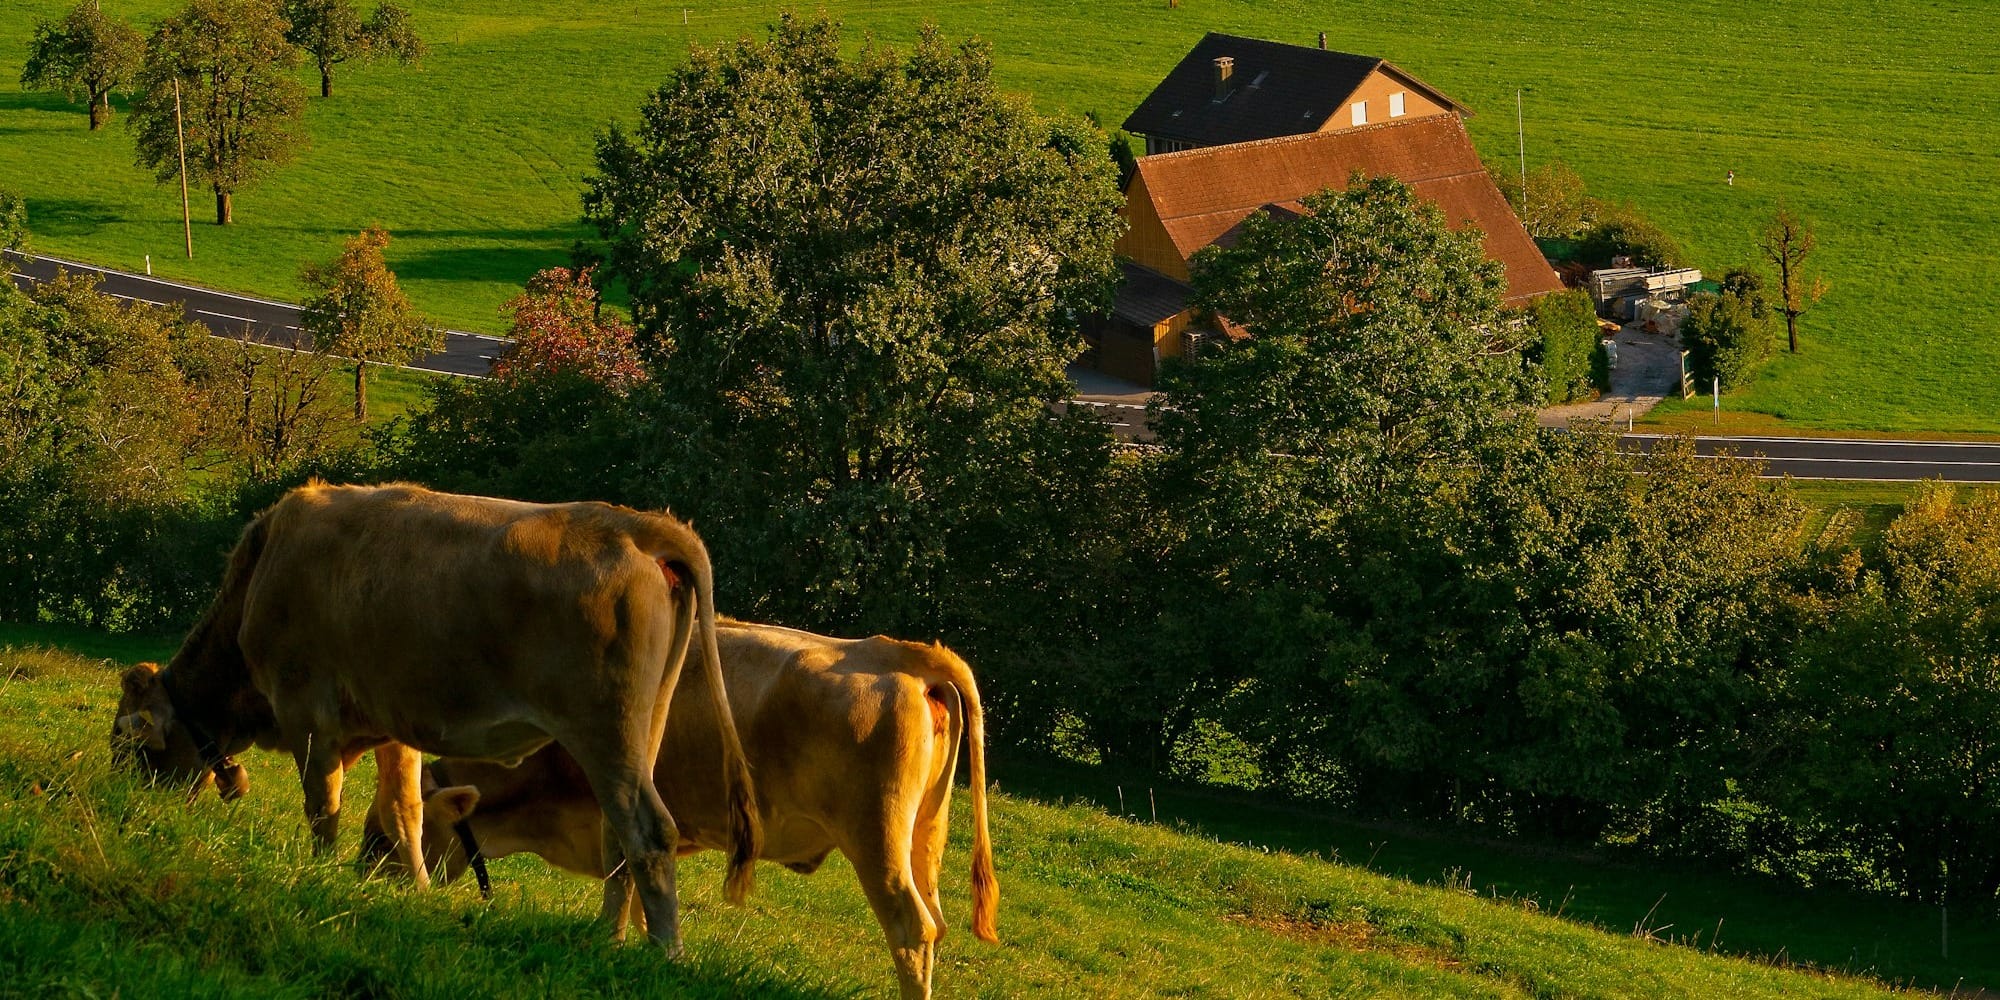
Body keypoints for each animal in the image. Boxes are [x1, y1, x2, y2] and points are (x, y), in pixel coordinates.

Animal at [109, 481, 760, 952]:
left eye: (128, 742)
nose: (127, 810)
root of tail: (631, 523)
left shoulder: (306, 708)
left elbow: (323, 803)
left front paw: (315, 874)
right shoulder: (390, 723)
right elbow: (405, 809)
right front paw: (414, 890)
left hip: (604, 729)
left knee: (647, 832)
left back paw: (663, 952)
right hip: (642, 728)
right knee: (618, 837)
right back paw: (607, 938)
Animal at [362, 620, 997, 1000]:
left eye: (386, 838)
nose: (362, 883)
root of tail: (898, 653)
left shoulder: (611, 803)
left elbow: (624, 874)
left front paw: (608, 943)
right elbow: (645, 886)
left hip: (876, 834)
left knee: (910, 926)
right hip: (924, 836)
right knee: (934, 923)